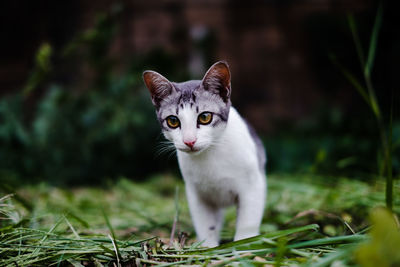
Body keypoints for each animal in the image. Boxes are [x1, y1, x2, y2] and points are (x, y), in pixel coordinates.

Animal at [142, 61, 268, 248]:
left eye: (205, 117)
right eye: (173, 121)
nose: (189, 141)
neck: (210, 154)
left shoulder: (253, 186)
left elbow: (247, 223)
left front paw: (243, 247)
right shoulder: (196, 195)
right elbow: (206, 225)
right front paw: (207, 248)